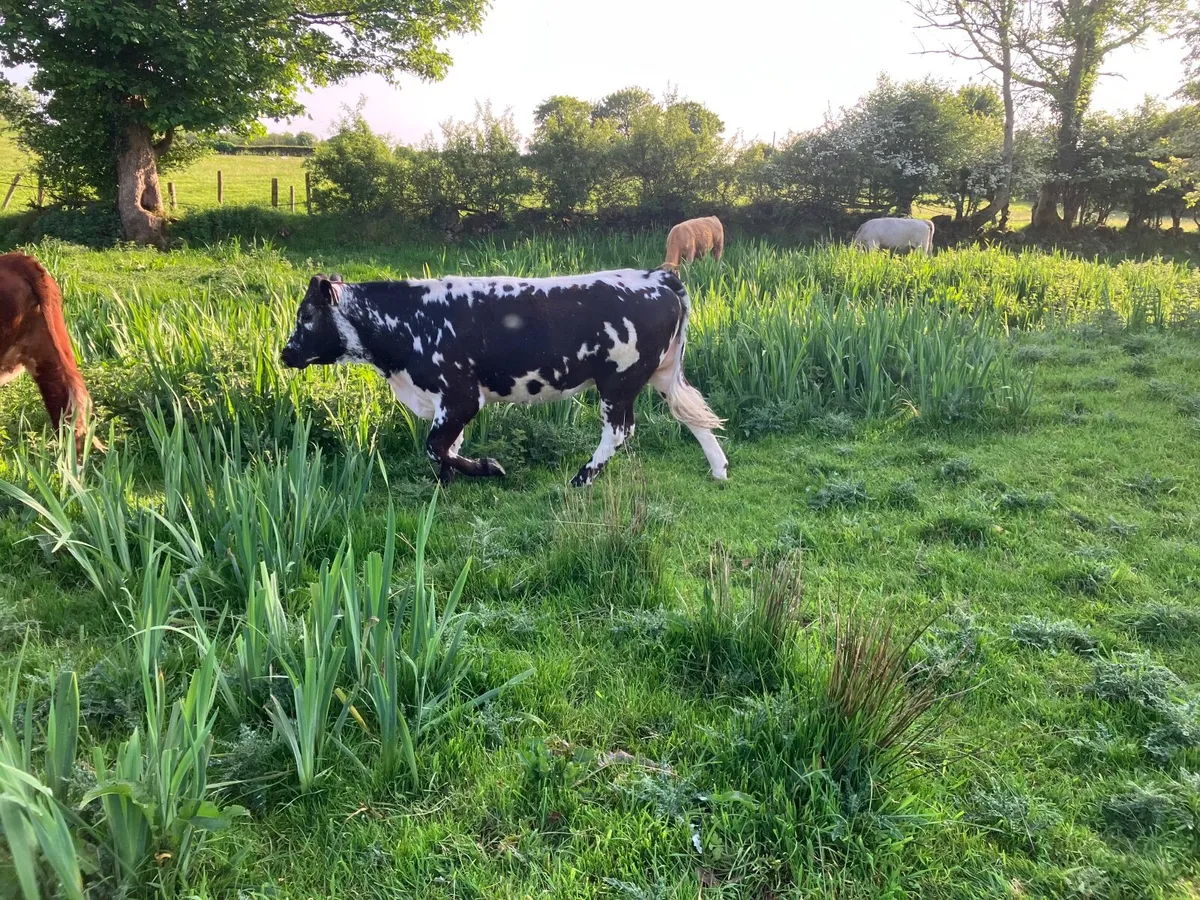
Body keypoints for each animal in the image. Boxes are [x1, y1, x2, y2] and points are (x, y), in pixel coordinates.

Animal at [279, 268, 728, 487]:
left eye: (306, 315)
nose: (285, 353)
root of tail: (656, 276)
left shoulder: (460, 396)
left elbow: (436, 446)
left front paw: (487, 469)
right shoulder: (445, 402)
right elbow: (445, 448)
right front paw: (446, 484)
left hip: (618, 380)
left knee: (620, 431)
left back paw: (581, 478)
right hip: (661, 374)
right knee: (693, 415)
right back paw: (719, 469)